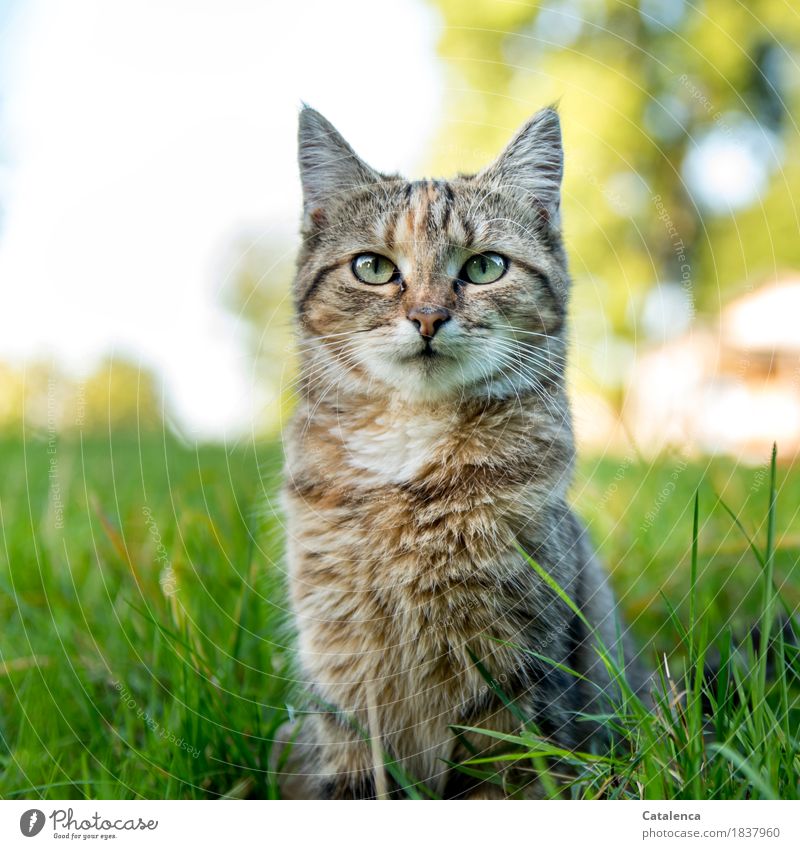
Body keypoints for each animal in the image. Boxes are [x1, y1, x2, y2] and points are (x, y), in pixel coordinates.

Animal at [282, 104, 648, 796]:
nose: (427, 317)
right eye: (373, 267)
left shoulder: (511, 670)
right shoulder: (342, 675)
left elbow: (501, 773)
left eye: (483, 268)